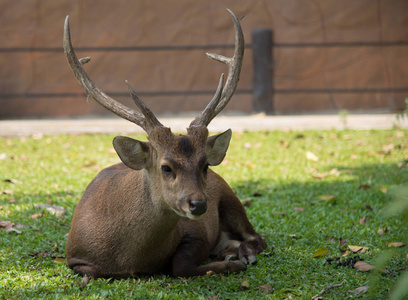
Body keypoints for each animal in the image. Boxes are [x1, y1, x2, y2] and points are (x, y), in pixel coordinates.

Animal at [63, 9, 268, 282]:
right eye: (166, 167)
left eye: (204, 165)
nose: (199, 204)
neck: (129, 258)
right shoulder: (74, 256)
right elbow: (94, 271)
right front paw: (229, 261)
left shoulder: (197, 230)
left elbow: (180, 265)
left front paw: (232, 264)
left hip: (230, 197)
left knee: (256, 236)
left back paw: (243, 254)